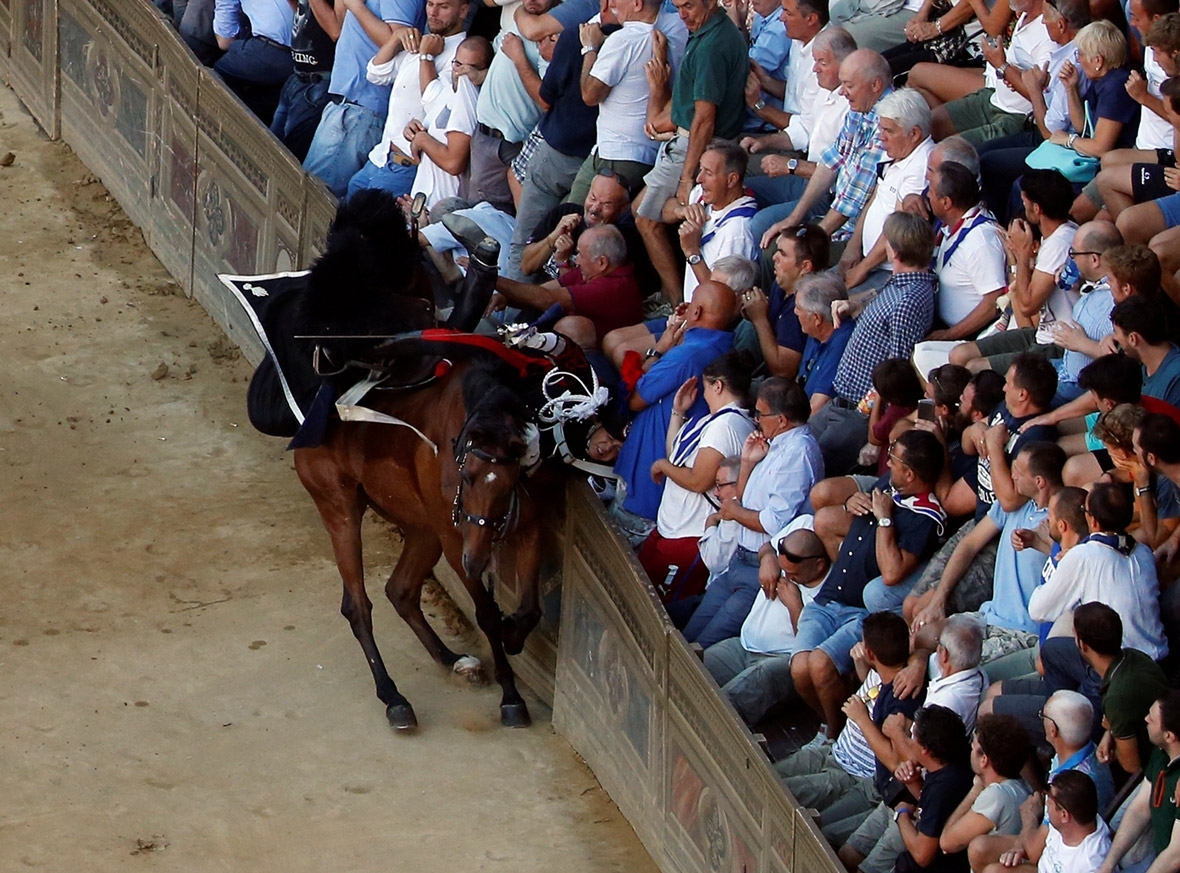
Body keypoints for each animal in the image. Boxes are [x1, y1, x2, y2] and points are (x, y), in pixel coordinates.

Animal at [292, 358, 540, 731]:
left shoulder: (528, 528)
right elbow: (486, 614)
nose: (477, 561)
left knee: (401, 590)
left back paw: (451, 660)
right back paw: (394, 698)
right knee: (357, 606)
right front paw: (511, 696)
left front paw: (513, 636)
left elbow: (529, 610)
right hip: (340, 511)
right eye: (467, 477)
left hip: (423, 530)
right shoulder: (455, 543)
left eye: (509, 483)